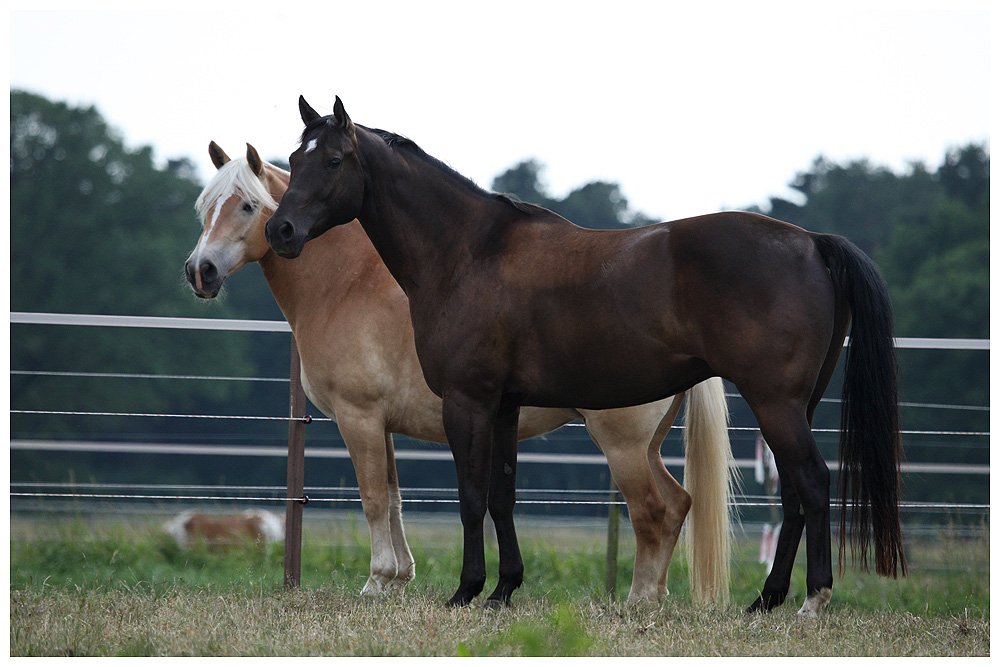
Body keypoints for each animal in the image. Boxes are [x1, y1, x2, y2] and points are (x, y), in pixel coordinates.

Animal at [184, 144, 736, 604]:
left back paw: (637, 601)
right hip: (647, 445)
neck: (346, 285)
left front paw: (375, 582)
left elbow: (372, 498)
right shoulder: (384, 426)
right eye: (205, 208)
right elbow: (395, 498)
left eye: (247, 206)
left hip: (622, 444)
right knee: (677, 505)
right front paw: (398, 579)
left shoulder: (358, 418)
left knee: (652, 512)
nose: (200, 271)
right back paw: (655, 598)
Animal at [264, 96, 908, 620]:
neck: (468, 252)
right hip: (793, 406)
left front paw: (466, 591)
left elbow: (471, 497)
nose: (281, 230)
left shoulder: (468, 402)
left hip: (773, 403)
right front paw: (503, 590)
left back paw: (811, 601)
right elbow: (501, 496)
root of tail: (812, 243)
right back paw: (766, 600)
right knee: (795, 493)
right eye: (294, 159)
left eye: (333, 161)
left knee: (812, 483)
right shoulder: (504, 406)